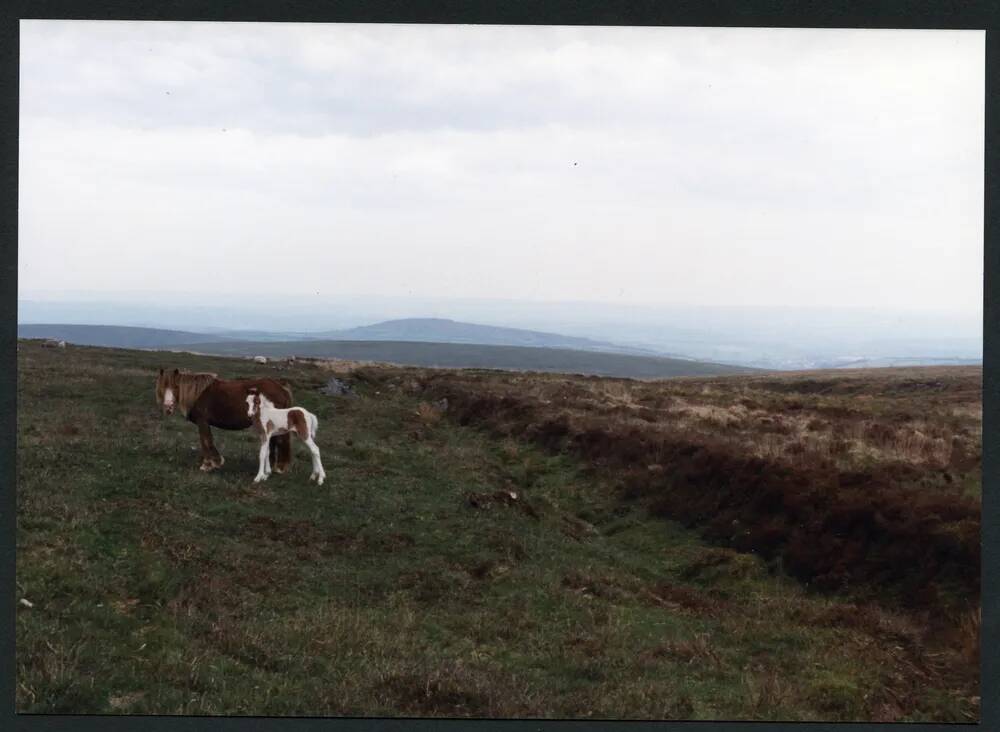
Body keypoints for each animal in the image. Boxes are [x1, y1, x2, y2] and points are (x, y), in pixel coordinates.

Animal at [154, 366, 292, 474]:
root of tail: (281, 388)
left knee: (279, 441)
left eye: (176, 387)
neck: (197, 394)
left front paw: (208, 464)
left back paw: (279, 467)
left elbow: (205, 440)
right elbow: (207, 440)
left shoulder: (202, 421)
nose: (168, 407)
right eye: (162, 387)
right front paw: (215, 462)